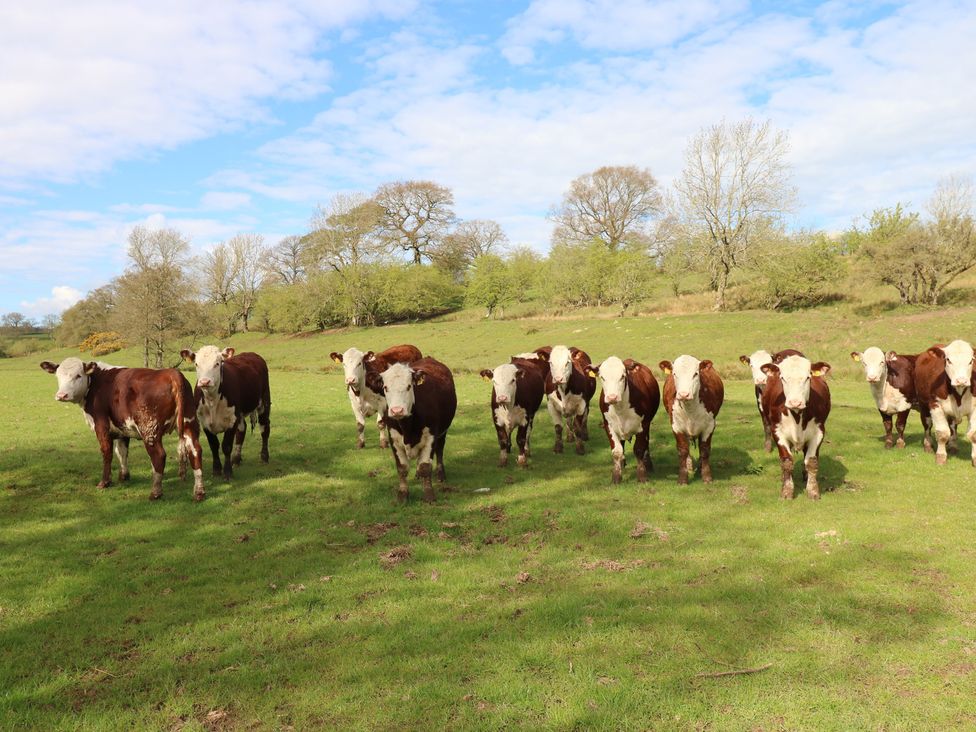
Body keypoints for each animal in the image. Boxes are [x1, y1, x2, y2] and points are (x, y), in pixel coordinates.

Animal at [39, 358, 205, 500]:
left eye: (78, 375)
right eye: (58, 375)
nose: (62, 395)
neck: (95, 384)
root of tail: (171, 373)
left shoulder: (101, 425)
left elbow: (107, 452)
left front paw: (105, 482)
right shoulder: (122, 428)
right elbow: (122, 452)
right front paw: (124, 476)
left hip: (149, 429)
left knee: (159, 456)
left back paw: (155, 492)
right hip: (189, 422)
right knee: (195, 451)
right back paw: (199, 492)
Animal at [180, 346, 271, 479]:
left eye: (217, 363)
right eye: (196, 364)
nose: (205, 381)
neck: (212, 400)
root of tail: (252, 354)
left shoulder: (232, 420)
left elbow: (226, 446)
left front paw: (227, 472)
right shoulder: (204, 421)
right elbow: (214, 445)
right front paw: (217, 470)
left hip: (264, 402)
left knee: (264, 428)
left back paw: (264, 457)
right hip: (241, 412)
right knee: (242, 430)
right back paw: (236, 459)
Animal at [365, 357, 457, 503]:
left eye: (409, 386)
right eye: (385, 387)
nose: (397, 410)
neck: (407, 426)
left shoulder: (431, 437)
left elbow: (425, 466)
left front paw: (429, 495)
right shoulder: (394, 439)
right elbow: (402, 468)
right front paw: (402, 495)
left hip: (443, 432)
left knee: (440, 450)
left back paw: (440, 474)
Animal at [659, 356, 724, 485]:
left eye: (695, 373)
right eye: (674, 373)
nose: (684, 394)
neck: (690, 408)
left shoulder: (709, 426)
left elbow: (704, 450)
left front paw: (706, 476)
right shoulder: (676, 426)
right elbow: (683, 450)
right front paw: (683, 478)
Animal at [760, 355, 832, 499]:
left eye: (808, 377)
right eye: (782, 377)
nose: (795, 402)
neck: (797, 416)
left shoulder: (819, 432)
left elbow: (811, 462)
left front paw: (813, 491)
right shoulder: (777, 431)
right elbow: (787, 461)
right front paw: (787, 491)